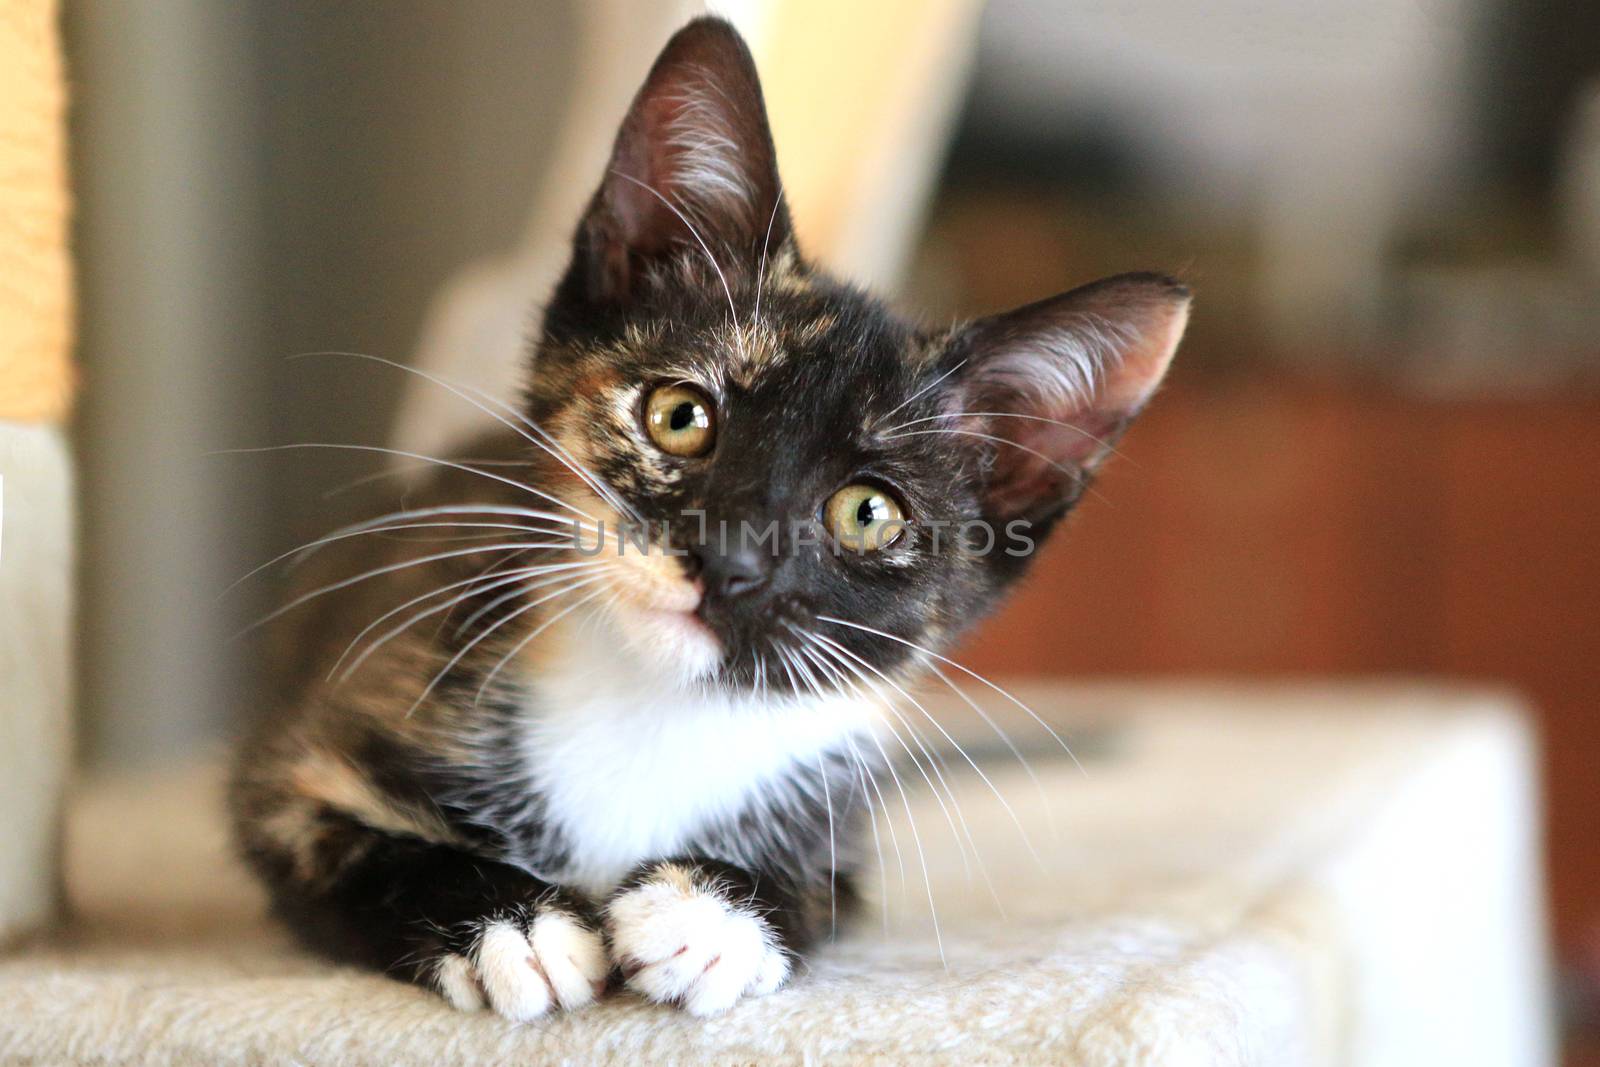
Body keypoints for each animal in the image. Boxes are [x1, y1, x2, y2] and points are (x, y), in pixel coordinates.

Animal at [228, 14, 1190, 1017]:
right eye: (679, 415)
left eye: (868, 513)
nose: (730, 562)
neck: (652, 704)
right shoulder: (296, 769)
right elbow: (356, 848)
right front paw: (513, 924)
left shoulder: (841, 830)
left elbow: (821, 892)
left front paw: (713, 914)